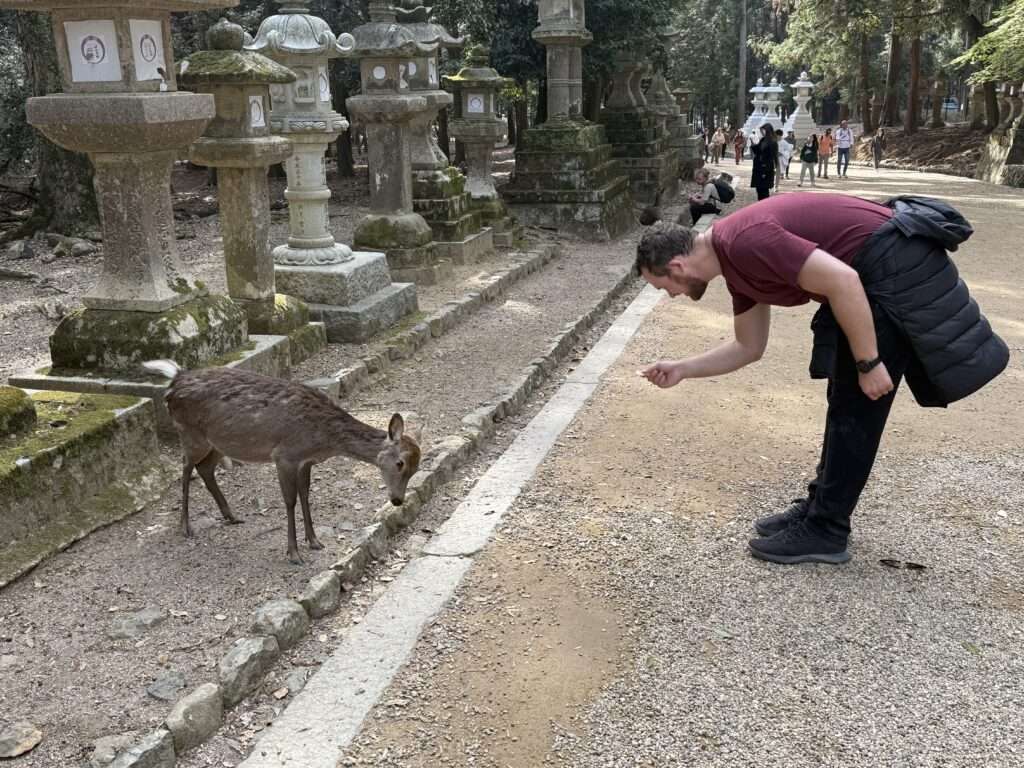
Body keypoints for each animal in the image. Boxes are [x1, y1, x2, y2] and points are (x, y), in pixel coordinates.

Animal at [142, 360, 421, 564]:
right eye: (400, 463)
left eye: (416, 469)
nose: (397, 500)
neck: (323, 438)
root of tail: (175, 380)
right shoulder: (284, 456)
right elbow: (290, 500)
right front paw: (294, 553)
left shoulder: (305, 460)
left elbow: (306, 494)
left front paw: (314, 541)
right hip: (190, 434)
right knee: (186, 468)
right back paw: (185, 526)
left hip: (218, 442)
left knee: (205, 468)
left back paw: (231, 516)